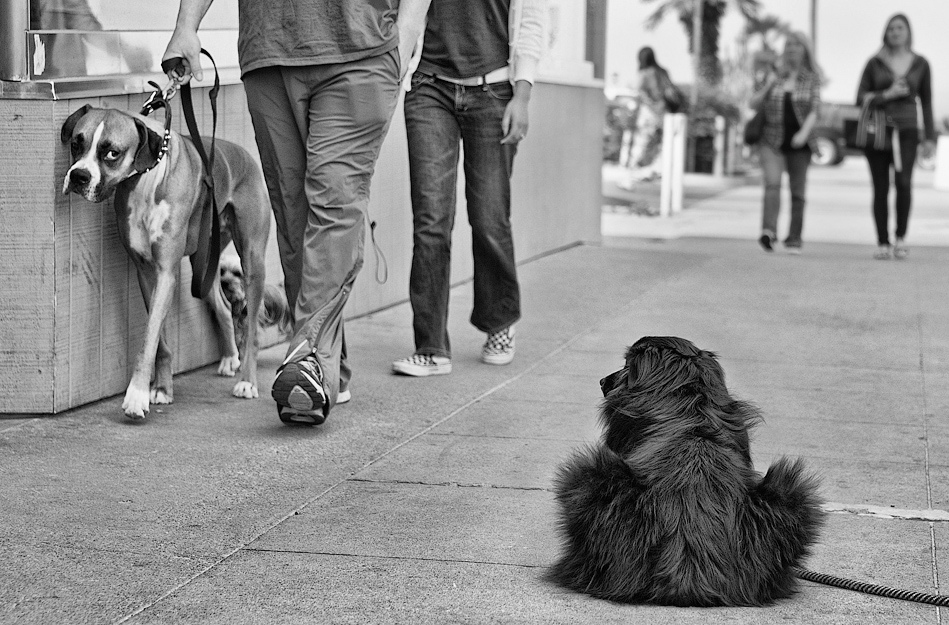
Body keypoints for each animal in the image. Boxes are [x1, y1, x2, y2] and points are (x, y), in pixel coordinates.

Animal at [548, 336, 824, 604]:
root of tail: (688, 569)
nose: (603, 381)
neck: (689, 395)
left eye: (627, 365)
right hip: (792, 493)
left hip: (587, 476)